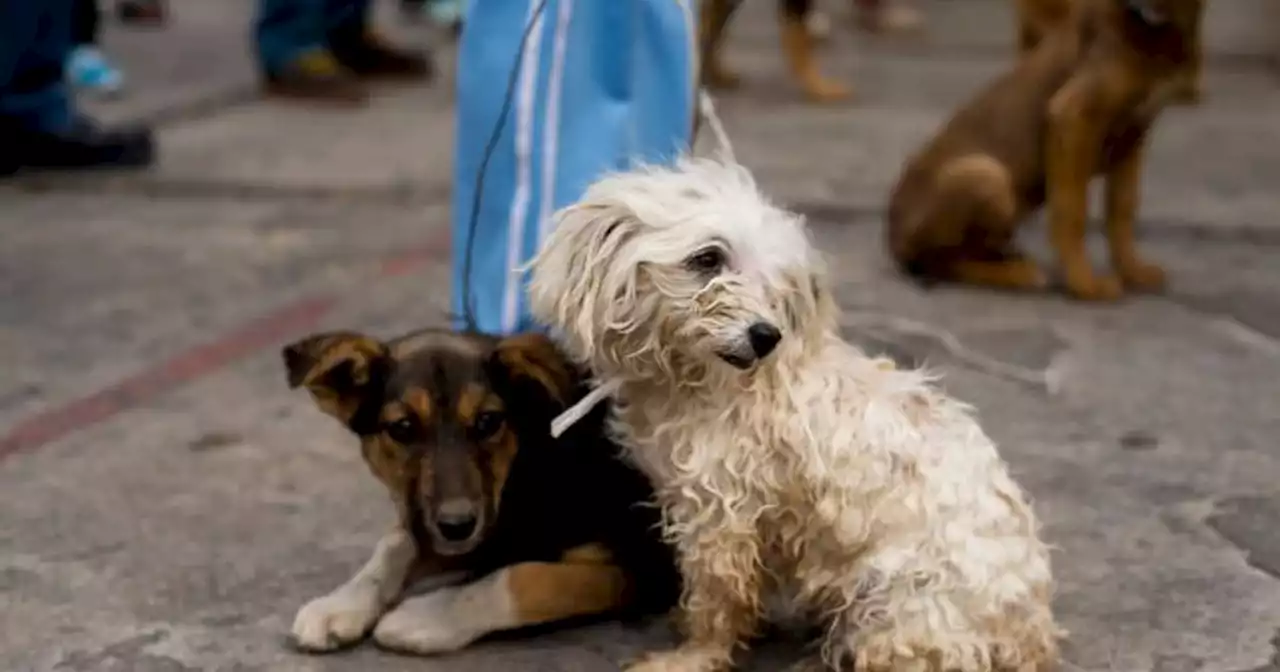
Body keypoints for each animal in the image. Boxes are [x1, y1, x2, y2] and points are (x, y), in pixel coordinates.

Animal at [281, 330, 680, 655]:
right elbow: (396, 544)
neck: (531, 466)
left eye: (489, 421)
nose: (457, 525)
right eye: (402, 428)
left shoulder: (650, 562)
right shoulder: (462, 524)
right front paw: (340, 604)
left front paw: (431, 617)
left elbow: (527, 578)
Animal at [524, 158, 1064, 670]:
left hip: (895, 605)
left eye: (772, 282)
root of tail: (1030, 634)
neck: (706, 382)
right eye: (707, 258)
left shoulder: (719, 513)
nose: (766, 336)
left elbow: (718, 598)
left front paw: (693, 656)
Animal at [885, 0, 1203, 300]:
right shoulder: (1071, 117)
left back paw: (1011, 259)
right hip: (985, 173)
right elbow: (1072, 211)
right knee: (943, 263)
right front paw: (1084, 284)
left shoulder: (1134, 135)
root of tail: (893, 239)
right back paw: (1016, 274)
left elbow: (1122, 208)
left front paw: (1133, 271)